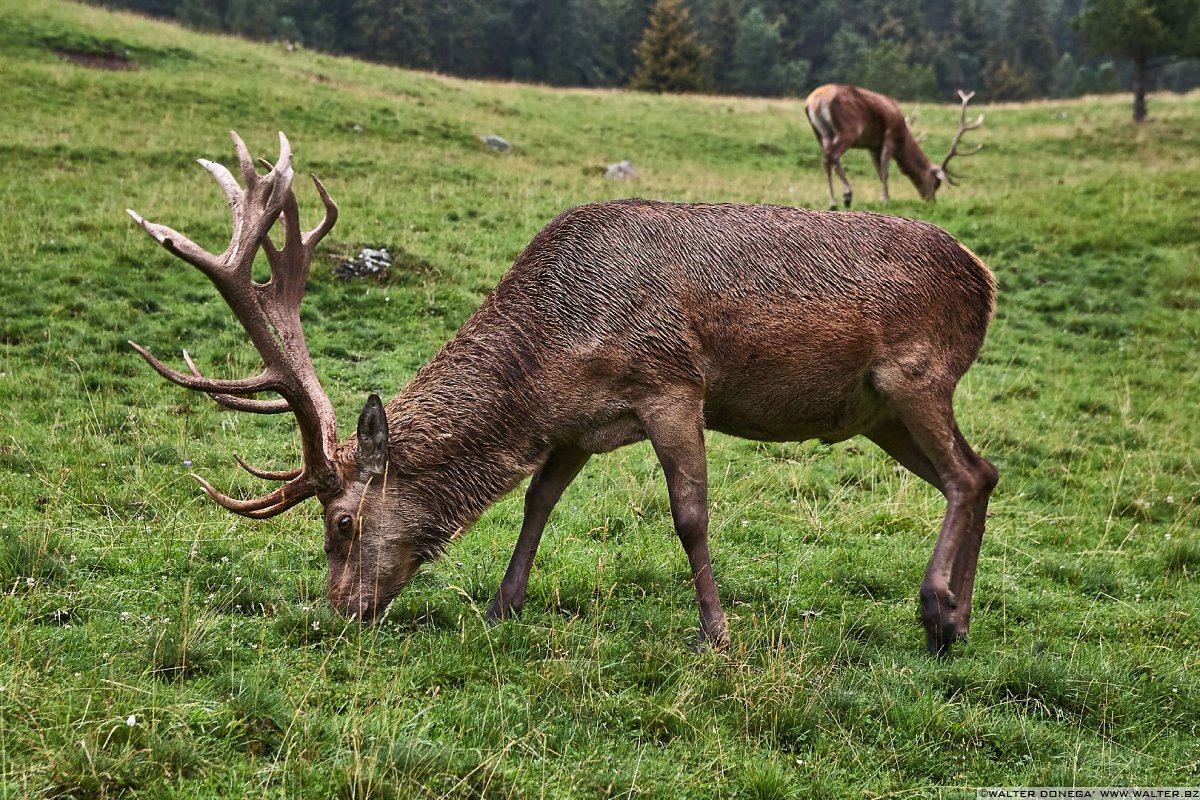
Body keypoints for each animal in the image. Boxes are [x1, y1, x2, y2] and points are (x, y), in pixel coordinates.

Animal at [126, 133, 998, 657]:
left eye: (342, 521)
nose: (340, 610)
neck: (553, 354)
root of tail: (984, 281)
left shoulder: (672, 383)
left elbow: (689, 514)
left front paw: (716, 634)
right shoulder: (576, 423)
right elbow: (536, 501)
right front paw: (501, 606)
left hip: (917, 376)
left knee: (964, 474)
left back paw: (936, 612)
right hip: (877, 414)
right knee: (983, 473)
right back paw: (958, 616)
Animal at [806, 85, 984, 209]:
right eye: (936, 183)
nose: (931, 201)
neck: (903, 138)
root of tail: (814, 101)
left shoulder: (872, 146)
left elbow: (879, 170)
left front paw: (885, 196)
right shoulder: (890, 137)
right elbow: (885, 169)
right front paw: (885, 199)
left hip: (820, 133)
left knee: (826, 158)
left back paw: (834, 201)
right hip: (849, 129)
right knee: (833, 156)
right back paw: (845, 196)